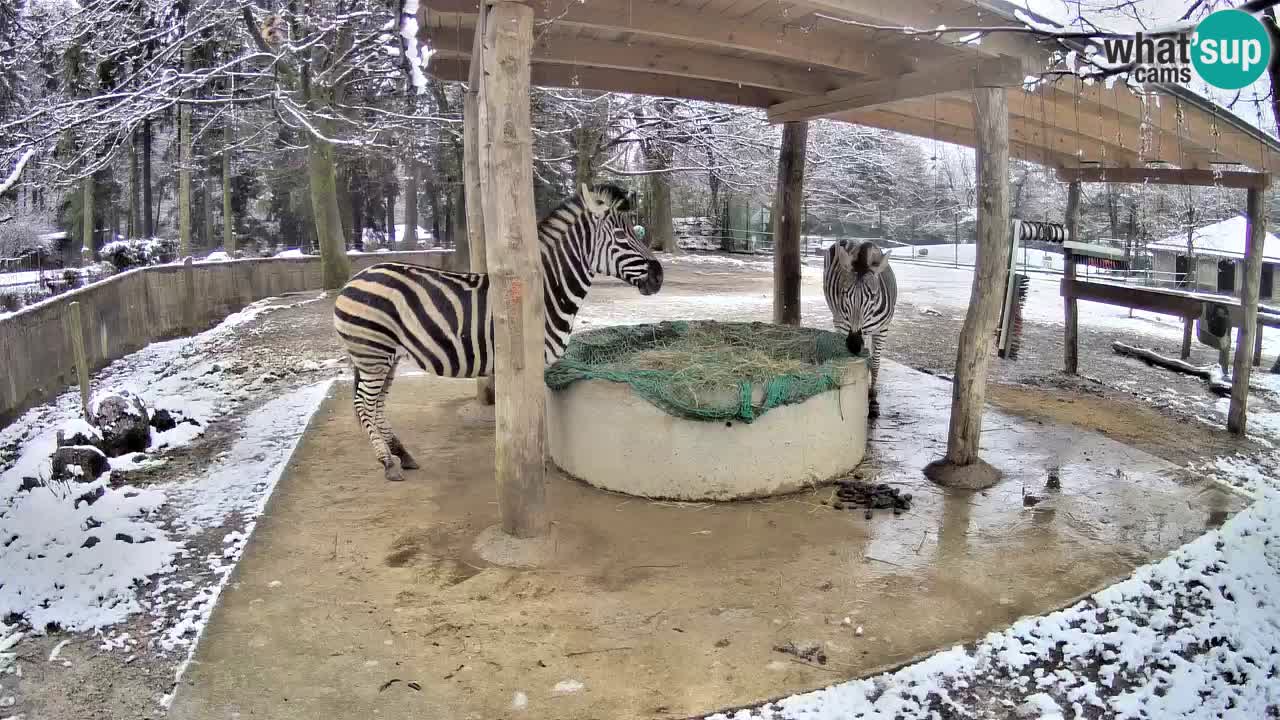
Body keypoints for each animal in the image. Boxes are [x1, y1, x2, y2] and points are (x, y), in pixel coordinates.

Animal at [330, 181, 660, 479]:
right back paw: (387, 462)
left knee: (377, 405)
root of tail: (354, 279)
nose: (658, 276)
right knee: (364, 404)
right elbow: (534, 418)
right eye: (622, 235)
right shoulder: (532, 363)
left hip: (386, 356)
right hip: (373, 353)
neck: (545, 292)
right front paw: (535, 462)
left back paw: (402, 454)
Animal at [824, 238, 896, 415]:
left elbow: (875, 363)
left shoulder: (882, 329)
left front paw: (873, 401)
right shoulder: (844, 324)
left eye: (873, 296)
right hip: (836, 318)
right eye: (844, 294)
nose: (854, 344)